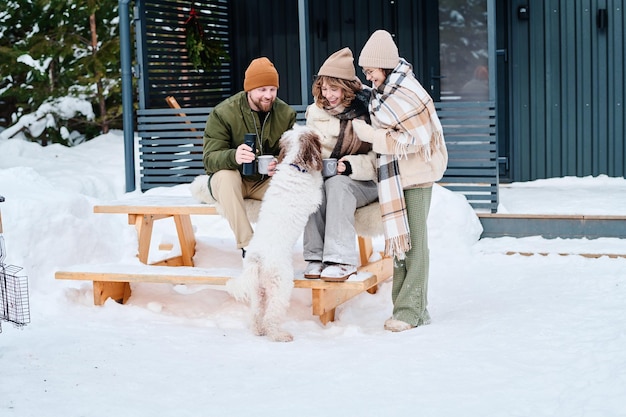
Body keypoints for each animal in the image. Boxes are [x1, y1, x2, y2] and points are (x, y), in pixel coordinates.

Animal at [225, 124, 322, 342]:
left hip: (258, 291)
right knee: (271, 315)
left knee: (256, 314)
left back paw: (257, 330)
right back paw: (279, 335)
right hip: (281, 286)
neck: (294, 165)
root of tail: (257, 260)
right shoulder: (314, 198)